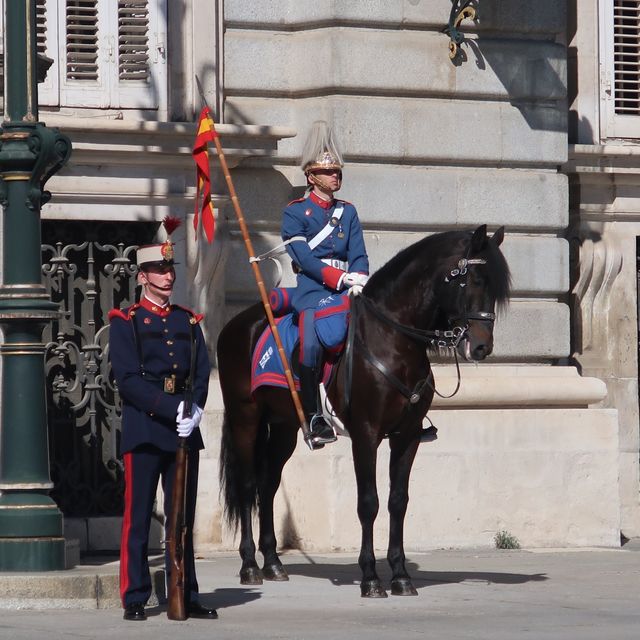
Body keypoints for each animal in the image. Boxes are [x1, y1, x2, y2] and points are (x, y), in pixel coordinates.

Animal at [219, 224, 510, 596]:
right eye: (473, 279)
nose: (482, 346)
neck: (394, 341)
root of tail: (239, 322)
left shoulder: (407, 436)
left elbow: (398, 501)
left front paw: (401, 575)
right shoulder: (365, 435)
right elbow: (368, 502)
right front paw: (370, 576)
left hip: (285, 426)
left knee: (267, 485)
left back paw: (272, 563)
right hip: (246, 418)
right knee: (247, 486)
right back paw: (249, 566)